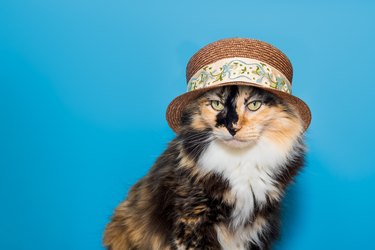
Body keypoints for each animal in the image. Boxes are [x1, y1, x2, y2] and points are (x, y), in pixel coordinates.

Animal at [103, 85, 306, 249]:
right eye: (217, 105)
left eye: (254, 105)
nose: (231, 128)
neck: (241, 160)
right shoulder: (192, 221)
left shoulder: (257, 226)